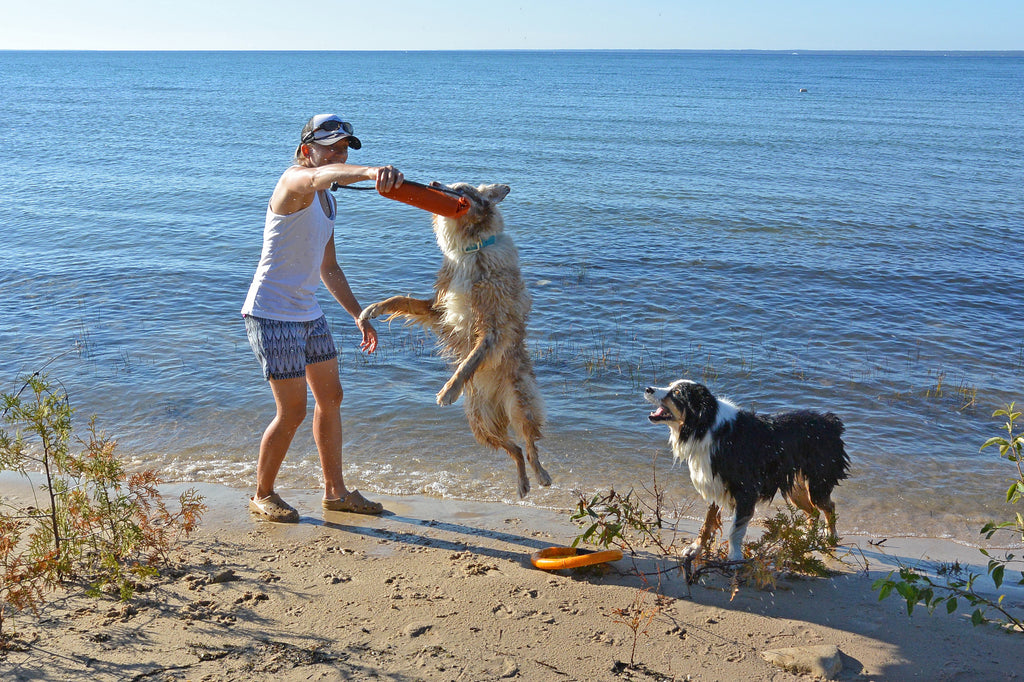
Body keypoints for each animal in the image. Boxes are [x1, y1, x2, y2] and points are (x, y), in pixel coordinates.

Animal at [643, 378, 851, 561]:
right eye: (670, 385)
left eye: (677, 393)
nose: (648, 388)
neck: (707, 427)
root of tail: (830, 421)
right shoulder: (714, 484)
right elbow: (707, 523)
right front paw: (696, 548)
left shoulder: (746, 489)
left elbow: (735, 529)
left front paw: (735, 556)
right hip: (796, 489)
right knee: (813, 511)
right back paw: (808, 538)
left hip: (818, 482)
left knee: (829, 506)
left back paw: (830, 537)